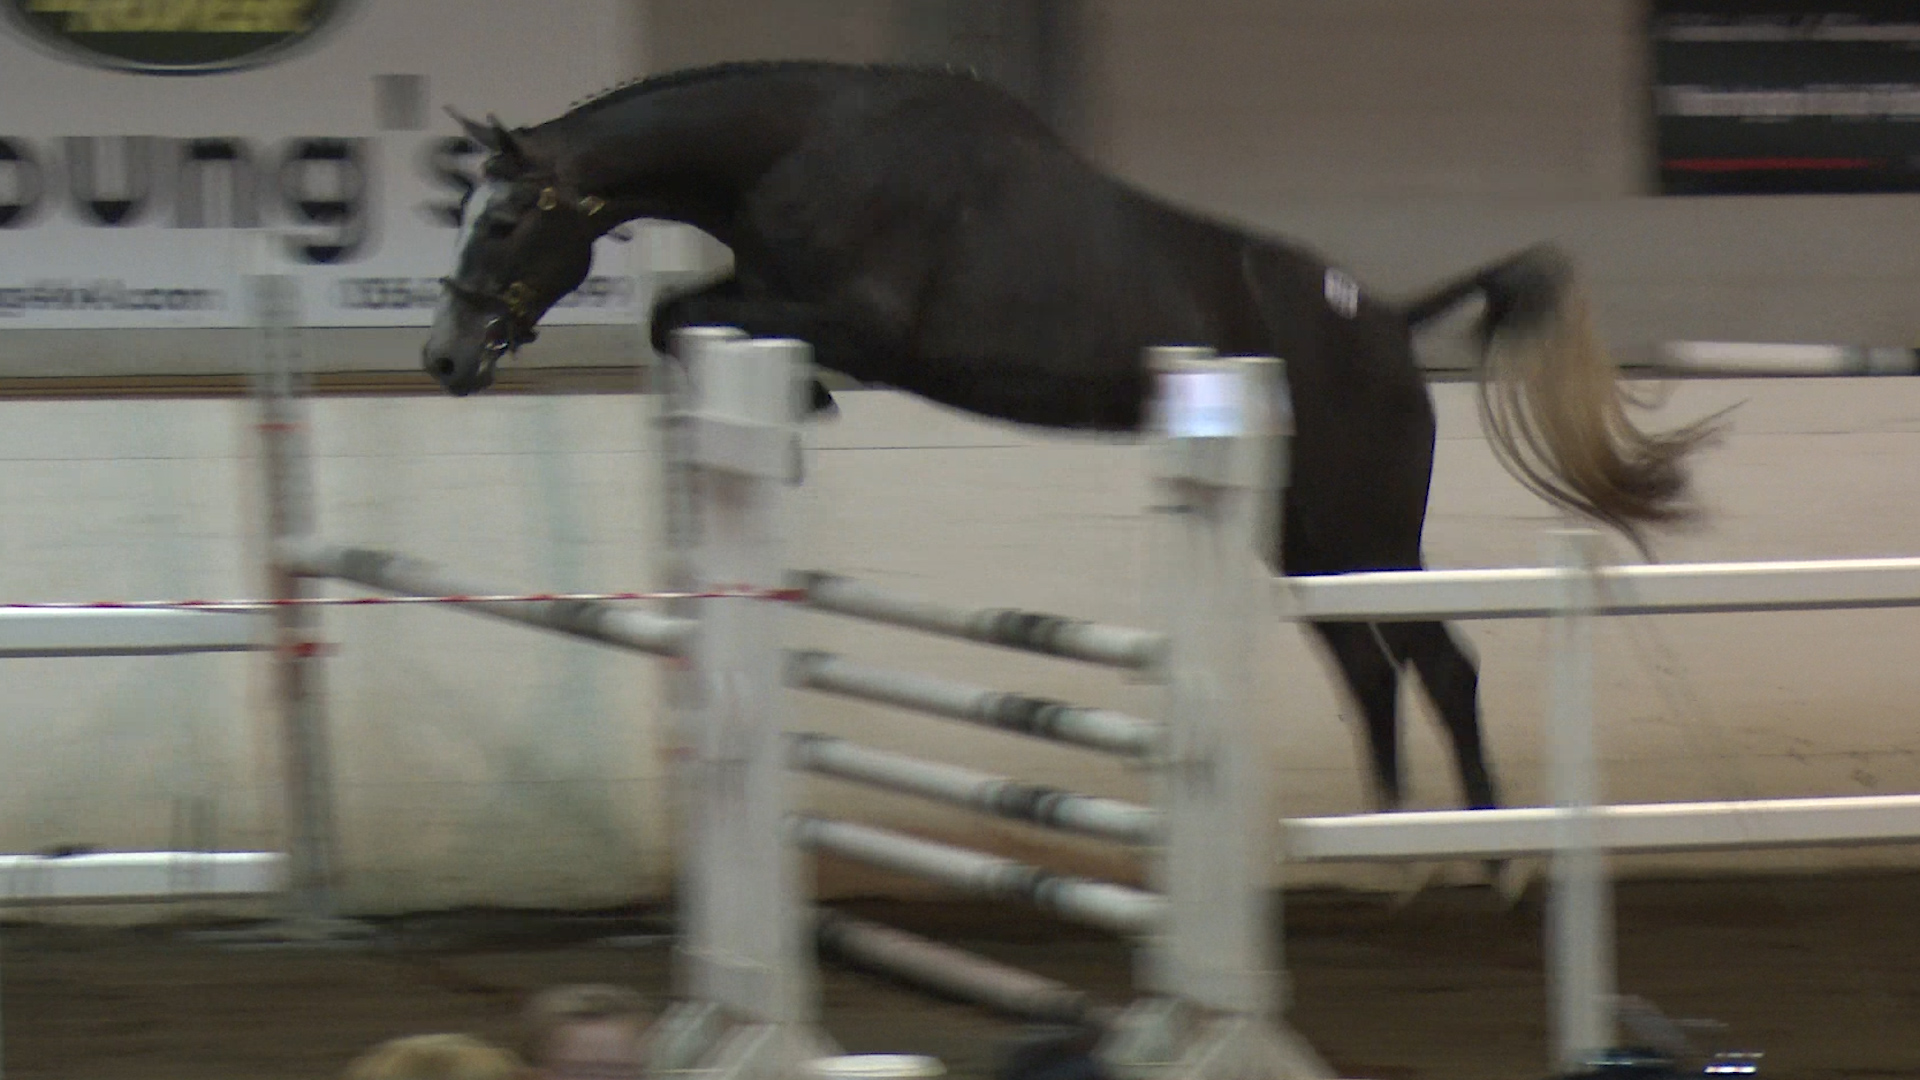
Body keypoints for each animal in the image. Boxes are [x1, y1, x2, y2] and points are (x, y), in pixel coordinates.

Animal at [423, 59, 1721, 815]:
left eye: (503, 218)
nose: (445, 357)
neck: (804, 145)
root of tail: (1394, 322)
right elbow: (683, 314)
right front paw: (786, 410)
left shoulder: (861, 324)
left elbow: (685, 314)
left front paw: (802, 407)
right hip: (1298, 534)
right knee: (1369, 668)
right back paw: (1383, 846)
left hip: (1364, 525)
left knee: (1438, 664)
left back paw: (1484, 856)